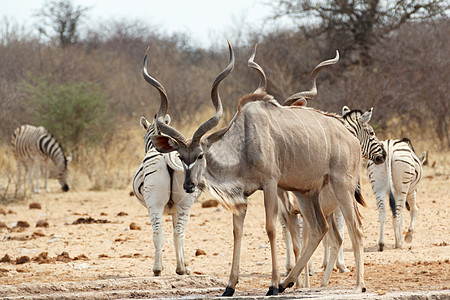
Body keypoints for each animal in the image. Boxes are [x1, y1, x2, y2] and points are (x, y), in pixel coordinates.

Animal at [131, 56, 200, 276]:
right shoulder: (176, 207)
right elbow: (178, 234)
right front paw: (185, 265)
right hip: (185, 203)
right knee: (179, 232)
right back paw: (180, 269)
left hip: (155, 203)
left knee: (158, 233)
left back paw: (157, 269)